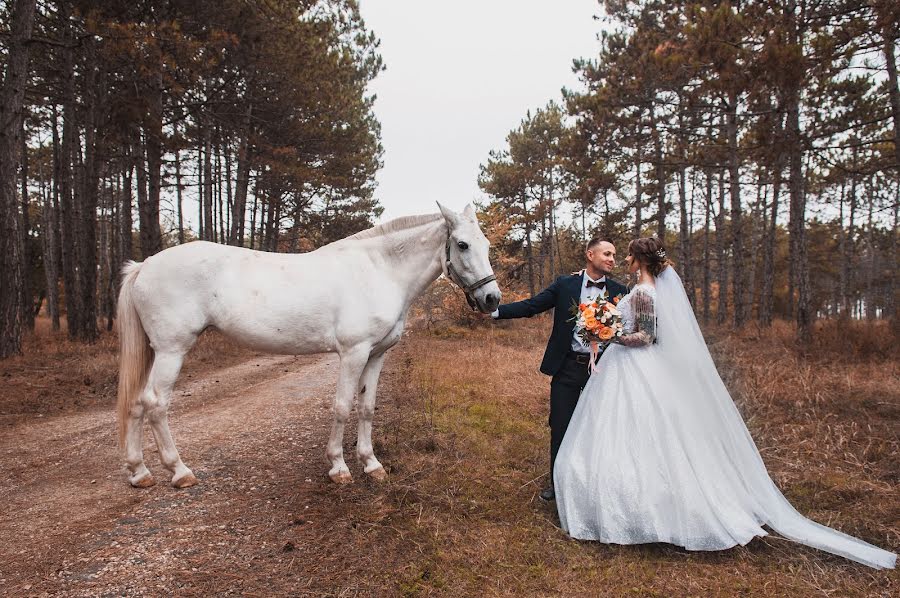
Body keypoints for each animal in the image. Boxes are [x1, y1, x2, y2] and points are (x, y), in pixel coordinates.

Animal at [116, 204, 500, 490]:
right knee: (155, 404)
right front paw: (339, 468)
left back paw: (140, 473)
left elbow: (367, 408)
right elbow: (343, 407)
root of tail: (144, 266)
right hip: (172, 350)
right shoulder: (353, 353)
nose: (492, 298)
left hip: (155, 351)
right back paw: (179, 471)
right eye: (462, 244)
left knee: (136, 402)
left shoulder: (377, 354)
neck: (379, 271)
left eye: (487, 245)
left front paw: (371, 464)